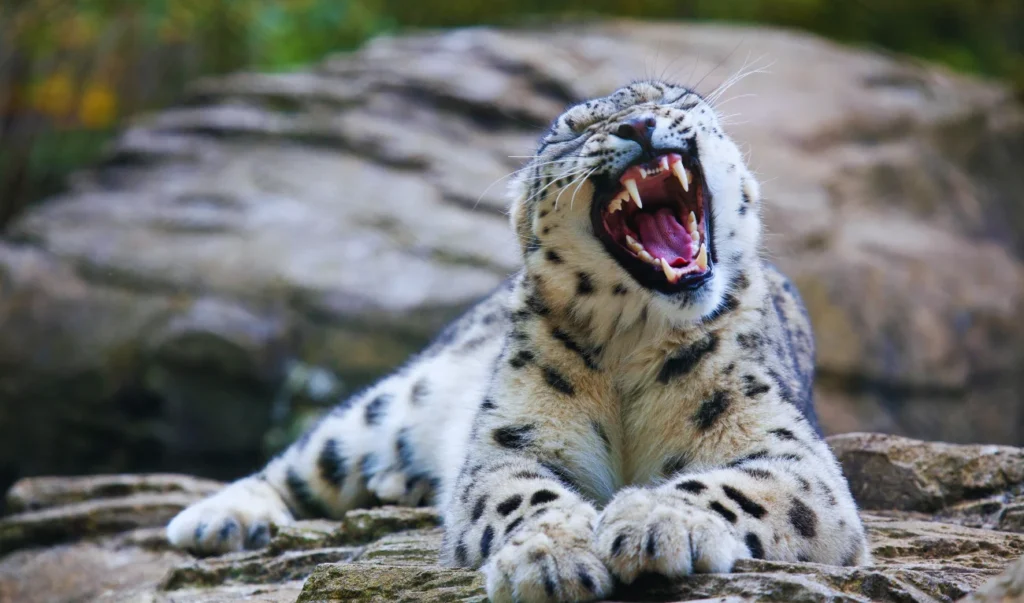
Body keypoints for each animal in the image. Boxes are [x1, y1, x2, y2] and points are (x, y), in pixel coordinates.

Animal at [165, 79, 864, 601]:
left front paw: (655, 521)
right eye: (574, 131)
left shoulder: (786, 447)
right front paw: (550, 557)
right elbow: (519, 493)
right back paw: (217, 519)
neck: (635, 341)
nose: (639, 125)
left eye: (670, 97)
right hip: (394, 402)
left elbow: (740, 487)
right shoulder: (510, 438)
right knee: (308, 458)